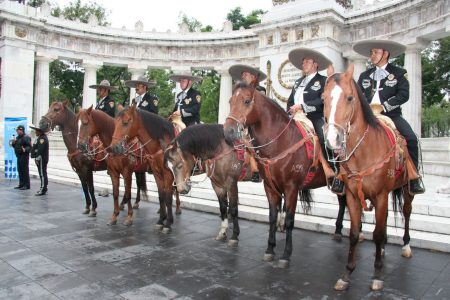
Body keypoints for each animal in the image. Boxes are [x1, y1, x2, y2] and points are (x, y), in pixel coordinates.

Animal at [223, 81, 340, 268]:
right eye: (230, 101)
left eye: (247, 101)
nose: (229, 132)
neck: (281, 141)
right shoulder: (270, 187)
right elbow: (272, 216)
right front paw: (270, 249)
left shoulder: (291, 188)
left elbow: (289, 220)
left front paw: (286, 255)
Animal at [322, 65, 414, 290]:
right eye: (323, 98)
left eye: (349, 98)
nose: (332, 139)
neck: (363, 151)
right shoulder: (353, 196)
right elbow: (355, 233)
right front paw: (347, 274)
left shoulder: (380, 195)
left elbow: (377, 234)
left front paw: (377, 275)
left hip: (406, 188)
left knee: (406, 212)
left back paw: (406, 245)